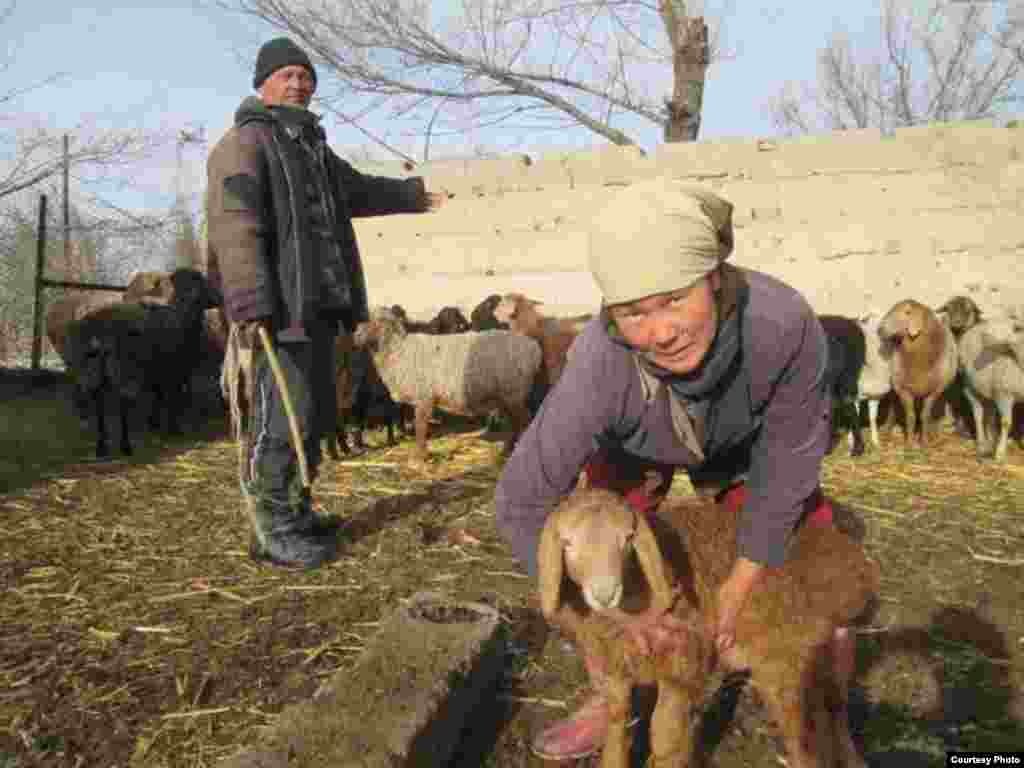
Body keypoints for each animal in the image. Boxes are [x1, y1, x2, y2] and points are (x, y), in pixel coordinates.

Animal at [352, 307, 544, 460]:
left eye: (378, 321)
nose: (356, 335)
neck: (399, 350)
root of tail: (533, 348)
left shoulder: (424, 397)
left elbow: (420, 427)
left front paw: (420, 457)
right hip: (504, 395)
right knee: (514, 423)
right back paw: (505, 451)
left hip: (513, 392)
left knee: (525, 420)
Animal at [536, 487, 880, 768]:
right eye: (567, 543)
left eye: (628, 539)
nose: (604, 593)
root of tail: (855, 562)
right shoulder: (615, 668)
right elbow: (616, 730)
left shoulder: (683, 664)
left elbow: (664, 738)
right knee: (833, 707)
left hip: (787, 660)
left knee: (809, 736)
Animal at [872, 296, 958, 448]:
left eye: (907, 312)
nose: (880, 329)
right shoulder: (902, 388)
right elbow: (910, 416)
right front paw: (910, 443)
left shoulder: (934, 391)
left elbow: (925, 415)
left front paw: (924, 441)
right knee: (893, 410)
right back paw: (887, 431)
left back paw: (933, 432)